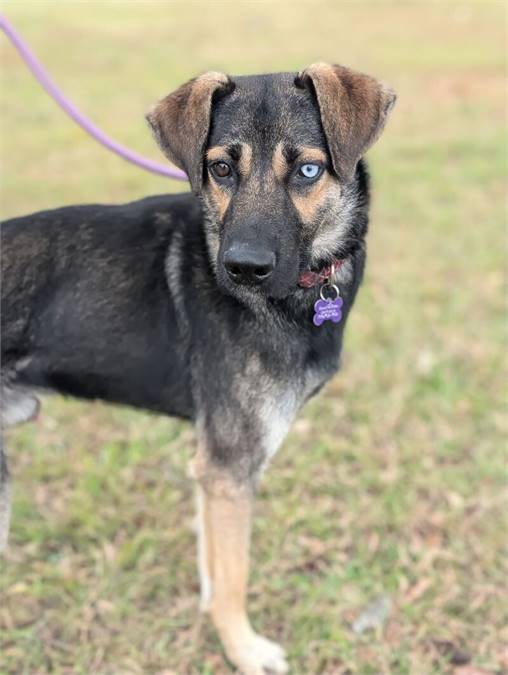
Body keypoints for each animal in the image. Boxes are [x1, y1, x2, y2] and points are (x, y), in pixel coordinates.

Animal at [0, 64, 394, 675]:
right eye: (221, 168)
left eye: (307, 170)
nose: (242, 269)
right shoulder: (229, 468)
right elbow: (233, 576)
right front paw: (244, 649)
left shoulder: (211, 469)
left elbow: (213, 564)